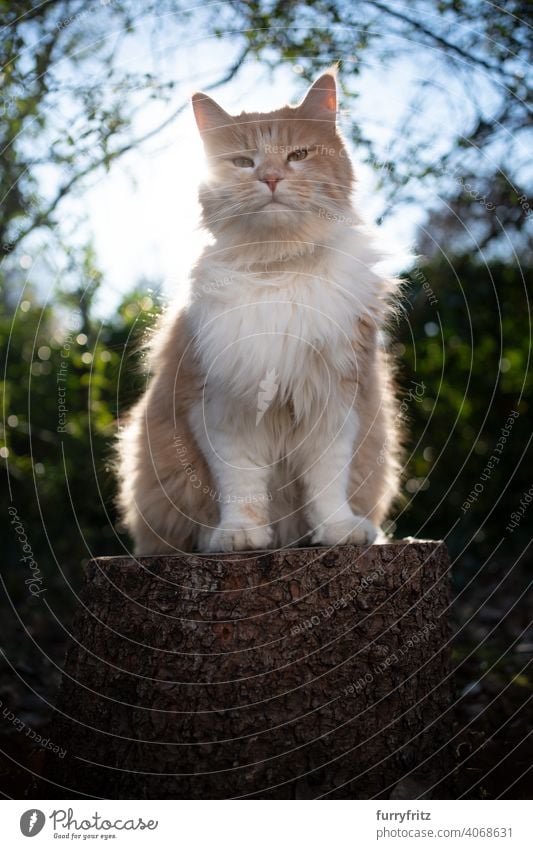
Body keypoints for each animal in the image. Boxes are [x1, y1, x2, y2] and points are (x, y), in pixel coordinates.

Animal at [115, 69, 400, 552]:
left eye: (298, 155)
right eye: (244, 162)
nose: (270, 178)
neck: (277, 271)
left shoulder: (336, 397)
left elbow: (328, 480)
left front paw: (338, 530)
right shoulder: (220, 403)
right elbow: (241, 483)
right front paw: (240, 535)